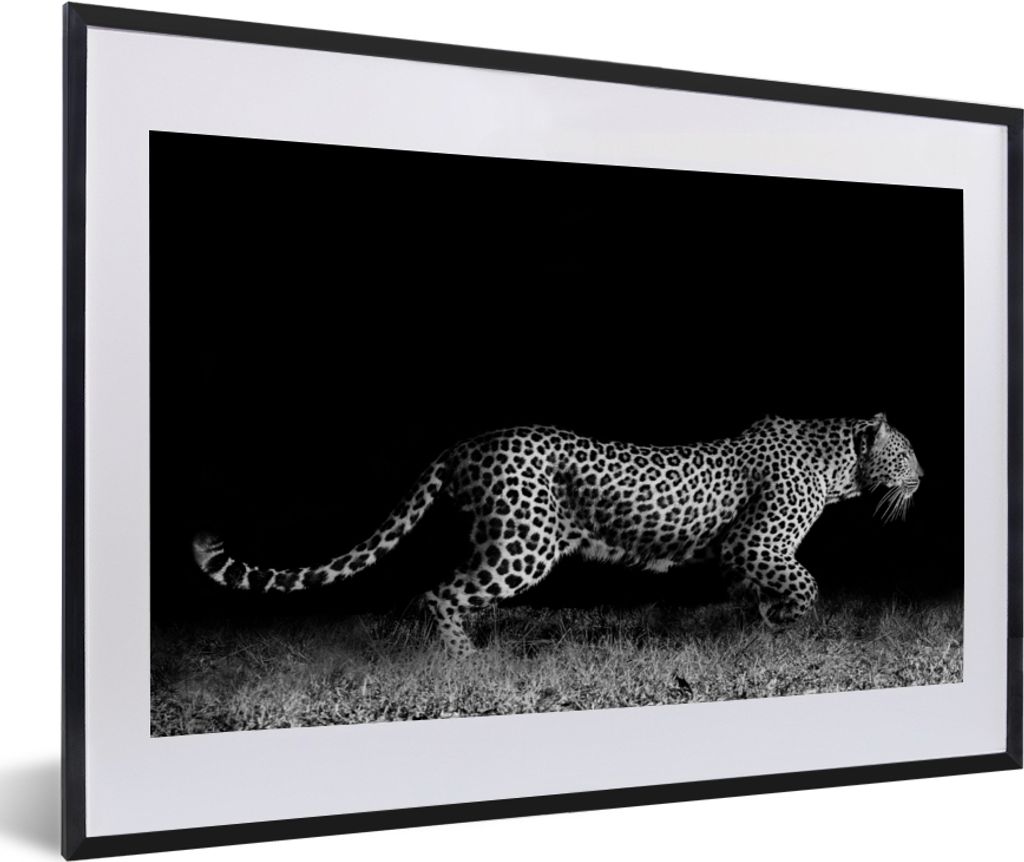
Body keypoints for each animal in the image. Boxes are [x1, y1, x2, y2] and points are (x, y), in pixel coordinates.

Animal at [192, 412, 923, 657]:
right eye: (910, 454)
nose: (926, 476)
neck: (839, 468)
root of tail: (465, 443)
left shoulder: (737, 557)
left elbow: (755, 595)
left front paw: (758, 630)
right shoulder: (759, 544)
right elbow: (806, 582)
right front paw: (785, 624)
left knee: (448, 593)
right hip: (525, 543)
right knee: (440, 592)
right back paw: (467, 661)